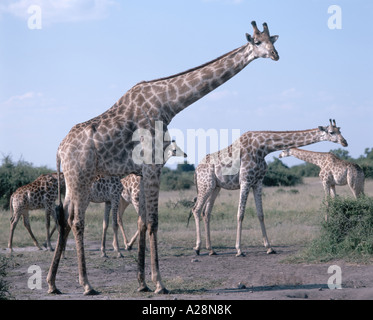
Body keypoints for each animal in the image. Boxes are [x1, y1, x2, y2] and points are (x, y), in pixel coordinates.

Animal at [46, 20, 280, 296]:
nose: (275, 55)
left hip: (71, 180)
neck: (167, 104)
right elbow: (153, 222)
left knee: (64, 218)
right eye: (258, 41)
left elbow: (142, 222)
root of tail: (59, 149)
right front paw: (159, 283)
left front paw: (142, 283)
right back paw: (86, 284)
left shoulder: (141, 171)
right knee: (76, 220)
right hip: (80, 178)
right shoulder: (152, 166)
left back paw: (52, 283)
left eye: (273, 40)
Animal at [190, 120, 348, 258]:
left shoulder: (258, 182)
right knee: (196, 209)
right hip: (206, 185)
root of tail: (197, 169)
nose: (345, 142)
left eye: (340, 130)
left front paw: (269, 247)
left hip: (215, 187)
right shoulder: (245, 180)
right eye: (331, 132)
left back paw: (211, 250)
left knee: (206, 212)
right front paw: (239, 250)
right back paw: (197, 248)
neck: (263, 147)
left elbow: (261, 214)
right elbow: (240, 214)